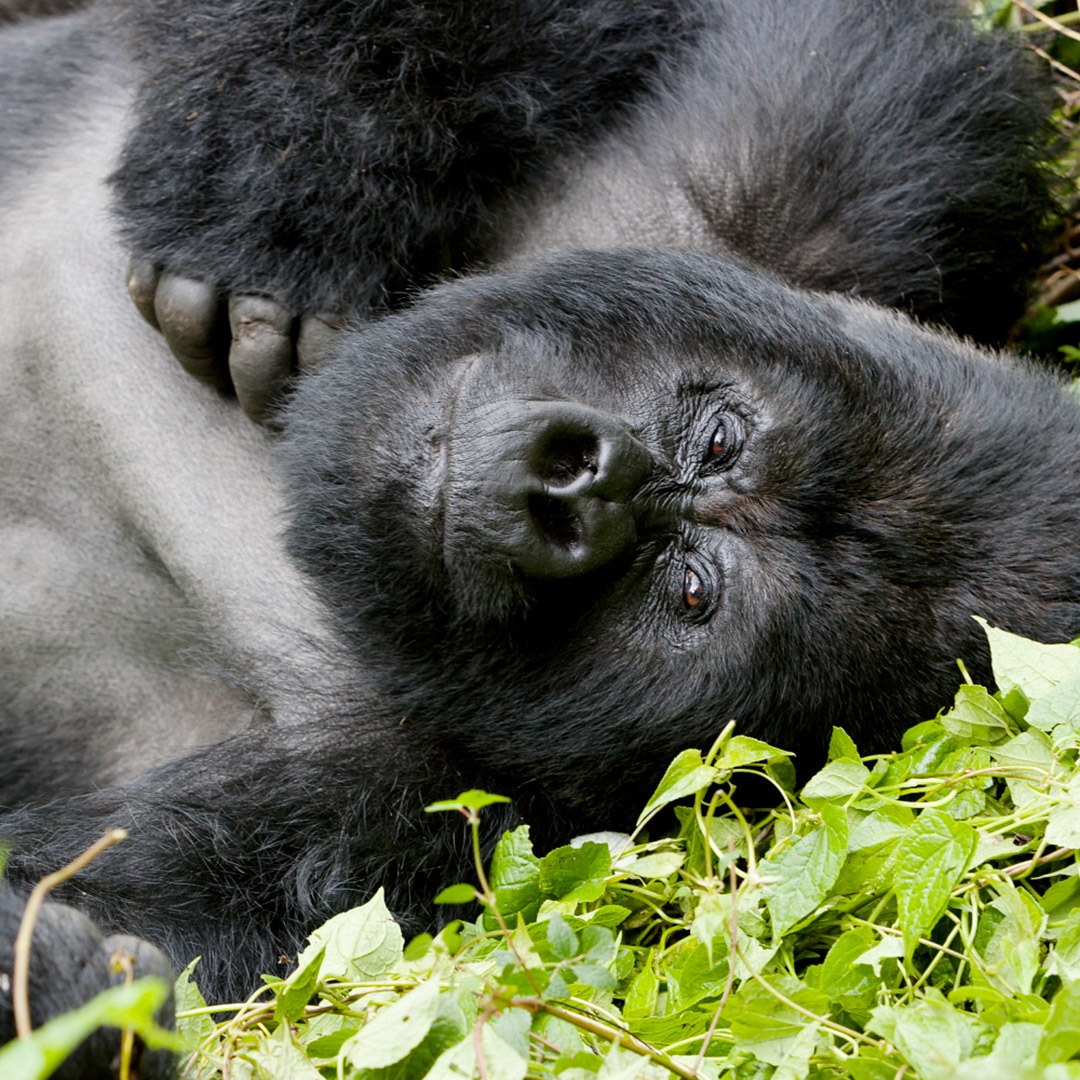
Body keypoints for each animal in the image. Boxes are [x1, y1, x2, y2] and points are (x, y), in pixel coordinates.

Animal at [2, 0, 1080, 1075]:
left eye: (690, 592)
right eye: (720, 439)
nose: (573, 487)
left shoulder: (408, 829)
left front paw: (59, 1000)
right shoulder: (804, 195)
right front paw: (279, 185)